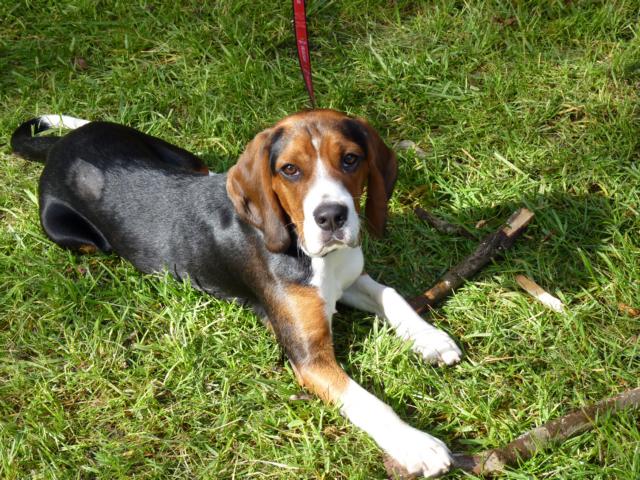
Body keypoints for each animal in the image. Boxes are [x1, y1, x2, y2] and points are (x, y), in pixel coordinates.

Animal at [11, 110, 461, 477]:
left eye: (350, 159)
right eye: (290, 169)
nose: (331, 217)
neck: (308, 250)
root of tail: (62, 146)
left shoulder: (349, 278)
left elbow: (393, 297)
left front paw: (432, 340)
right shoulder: (308, 357)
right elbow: (368, 402)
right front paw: (417, 444)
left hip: (181, 156)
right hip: (71, 235)